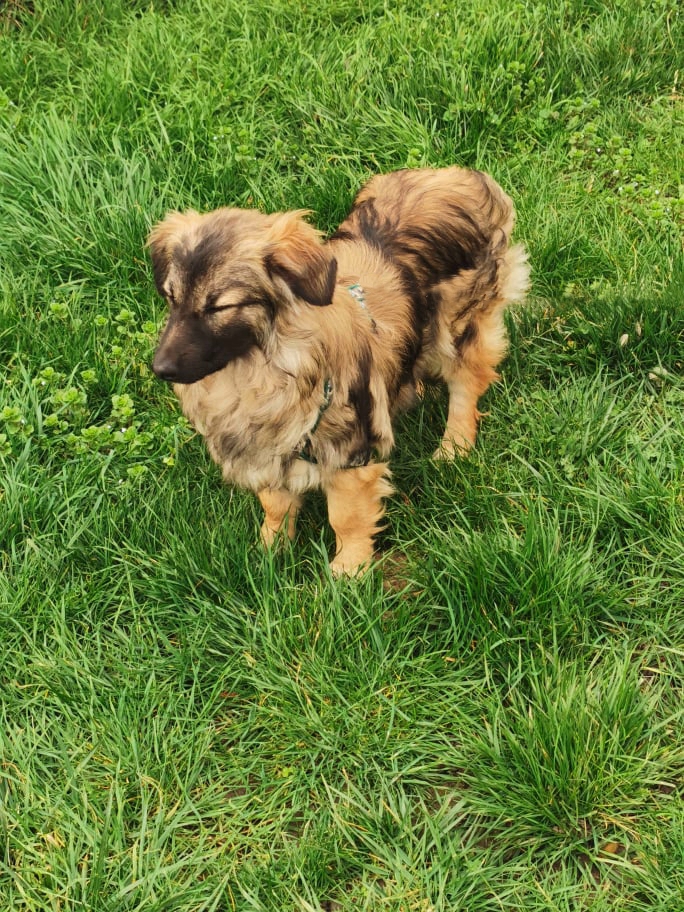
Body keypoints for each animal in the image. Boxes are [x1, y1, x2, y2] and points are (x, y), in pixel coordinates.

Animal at [150, 167, 528, 572]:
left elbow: (345, 517)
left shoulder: (350, 451)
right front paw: (269, 552)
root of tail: (460, 175)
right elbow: (275, 505)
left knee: (466, 384)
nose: (161, 368)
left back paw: (453, 446)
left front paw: (348, 571)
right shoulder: (269, 448)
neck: (259, 372)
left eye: (219, 307)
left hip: (459, 327)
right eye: (171, 298)